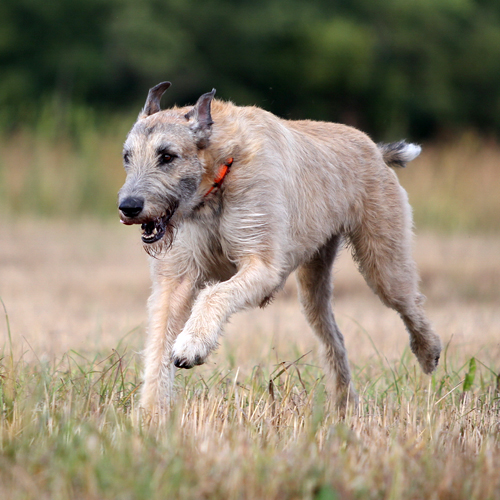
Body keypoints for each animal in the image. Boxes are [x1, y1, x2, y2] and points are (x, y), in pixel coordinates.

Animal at [118, 82, 442, 414]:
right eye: (127, 157)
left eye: (168, 156)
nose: (128, 206)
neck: (221, 172)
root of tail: (375, 148)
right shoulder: (176, 279)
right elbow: (159, 343)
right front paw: (150, 413)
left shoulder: (262, 266)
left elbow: (214, 294)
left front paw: (192, 344)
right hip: (313, 286)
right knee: (333, 336)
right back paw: (344, 404)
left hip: (383, 263)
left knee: (409, 303)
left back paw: (428, 352)